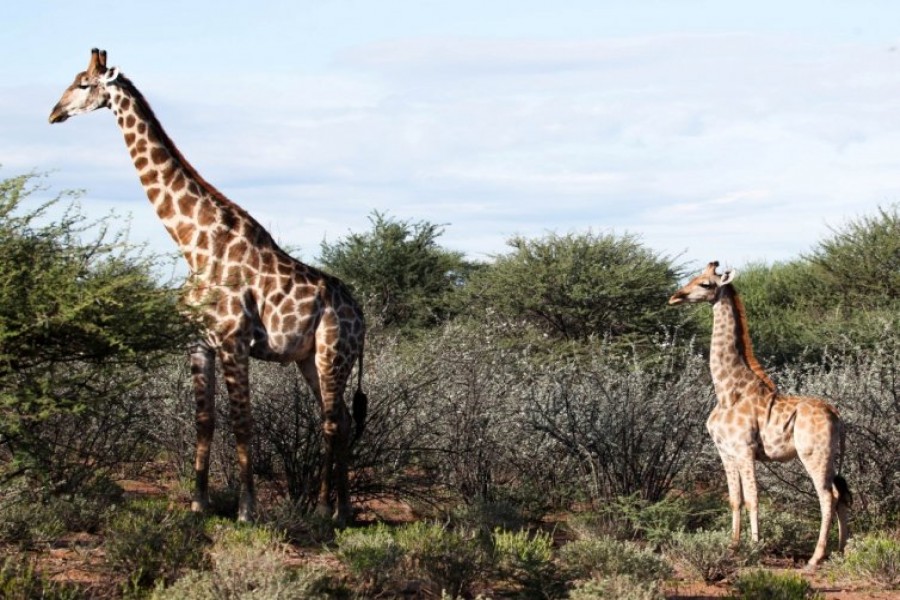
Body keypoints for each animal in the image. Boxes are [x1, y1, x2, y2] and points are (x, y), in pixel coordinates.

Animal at [49, 48, 368, 524]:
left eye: (84, 84)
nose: (54, 113)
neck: (193, 244)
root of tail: (361, 315)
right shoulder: (198, 343)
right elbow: (205, 420)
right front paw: (198, 503)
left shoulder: (234, 341)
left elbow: (242, 422)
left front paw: (247, 510)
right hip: (308, 358)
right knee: (343, 419)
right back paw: (342, 510)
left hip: (334, 352)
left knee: (331, 420)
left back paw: (324, 508)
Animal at [668, 261, 850, 570]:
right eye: (693, 278)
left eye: (705, 284)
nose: (675, 297)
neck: (728, 391)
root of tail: (836, 415)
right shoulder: (725, 451)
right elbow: (734, 499)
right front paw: (732, 547)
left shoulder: (744, 449)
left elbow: (753, 498)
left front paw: (754, 548)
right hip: (830, 456)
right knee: (841, 495)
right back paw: (839, 551)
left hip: (814, 454)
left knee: (827, 496)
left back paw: (815, 558)